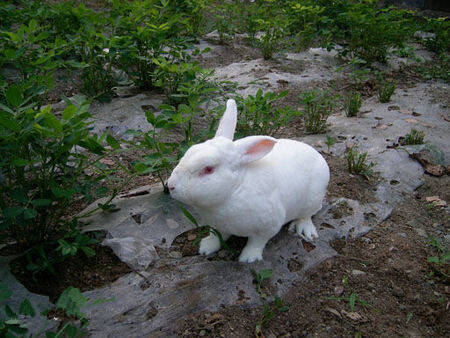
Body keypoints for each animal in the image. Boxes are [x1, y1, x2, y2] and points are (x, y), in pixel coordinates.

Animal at [167, 99, 328, 262]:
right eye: (188, 152)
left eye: (208, 169)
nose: (170, 185)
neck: (233, 190)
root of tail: (317, 155)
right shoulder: (217, 226)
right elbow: (216, 236)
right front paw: (206, 248)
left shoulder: (268, 227)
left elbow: (257, 242)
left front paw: (248, 258)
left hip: (312, 198)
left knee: (307, 215)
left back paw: (305, 230)